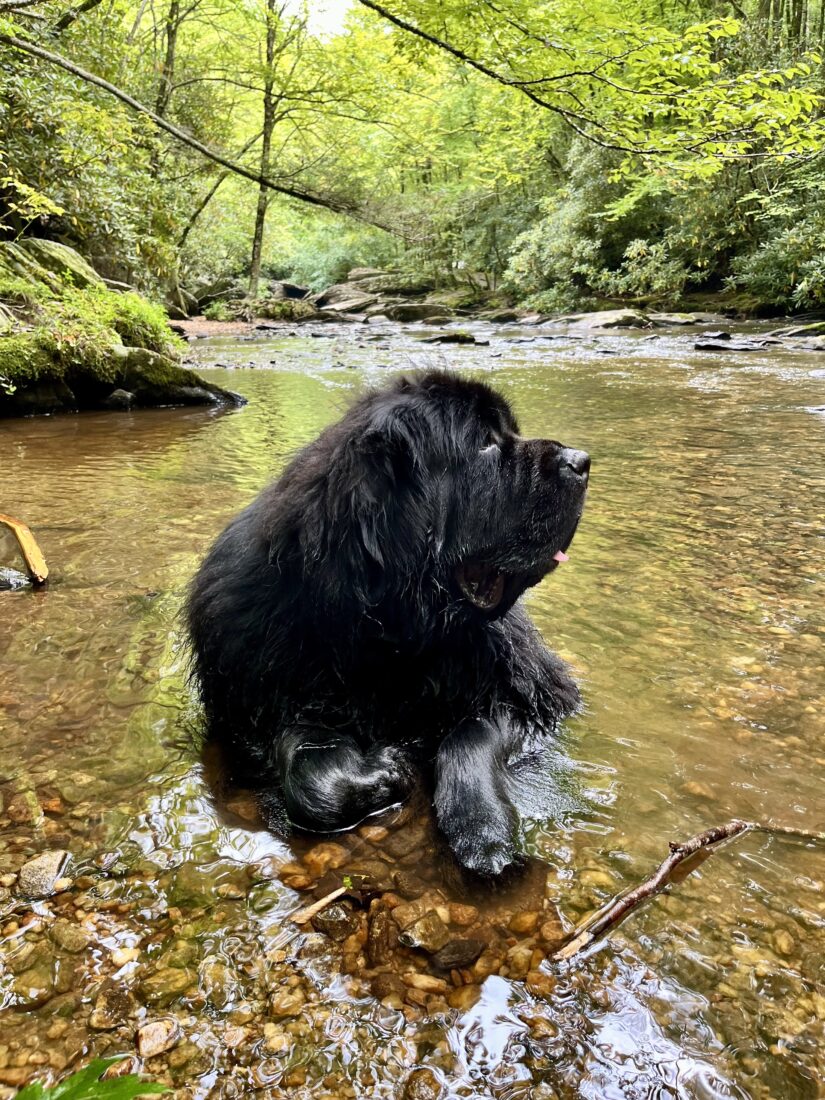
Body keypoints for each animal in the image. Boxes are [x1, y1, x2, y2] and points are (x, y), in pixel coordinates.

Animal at [187, 369, 589, 875]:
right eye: (484, 444)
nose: (582, 461)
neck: (391, 635)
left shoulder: (530, 695)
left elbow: (472, 733)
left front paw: (483, 830)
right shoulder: (259, 694)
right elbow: (306, 770)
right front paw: (385, 768)